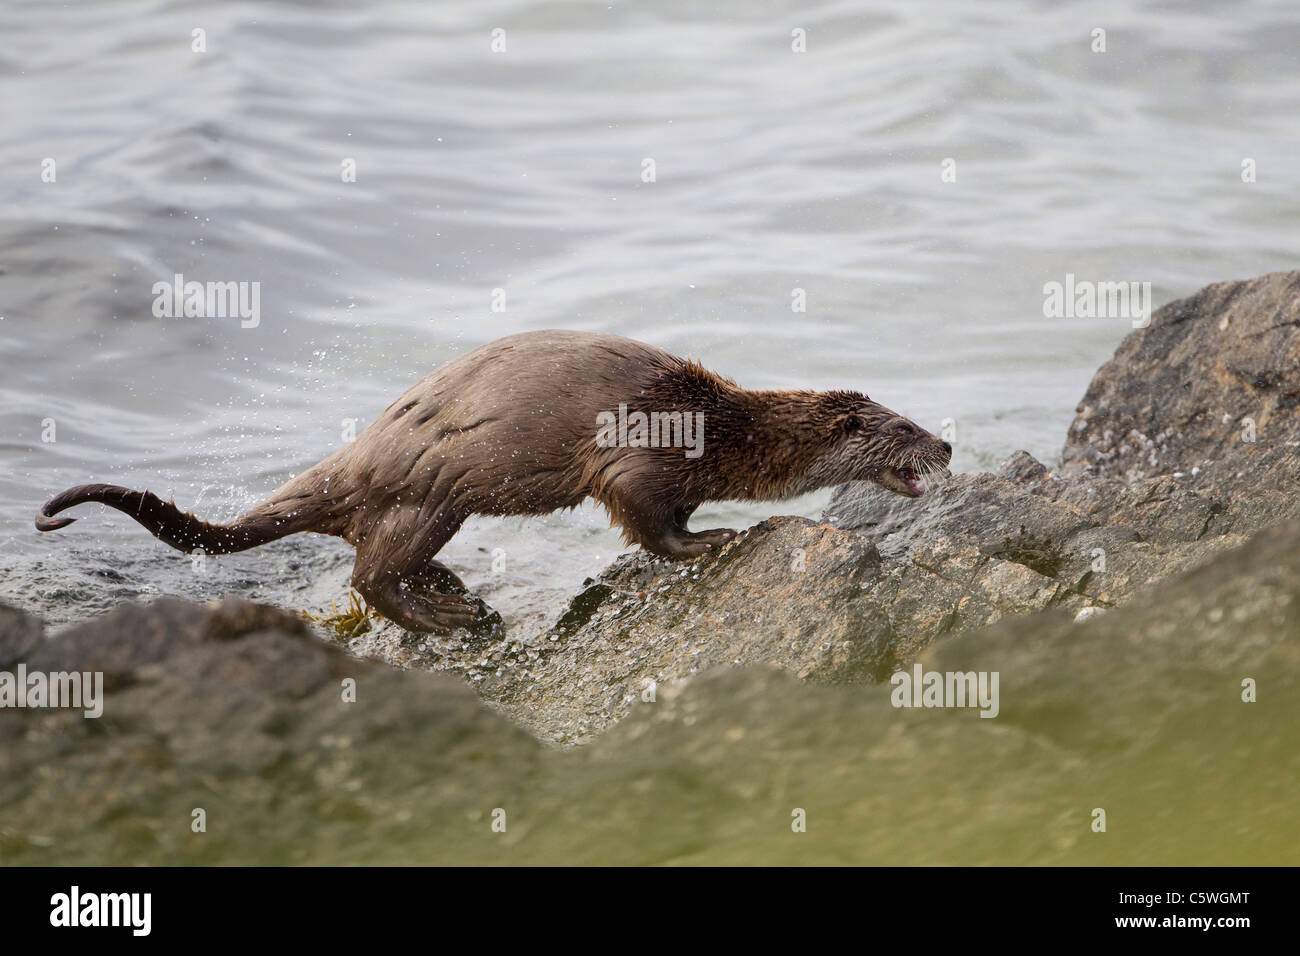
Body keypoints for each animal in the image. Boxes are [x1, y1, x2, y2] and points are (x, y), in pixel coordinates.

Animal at [35, 332, 951, 632]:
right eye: (904, 429)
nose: (945, 442)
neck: (722, 428)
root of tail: (360, 453)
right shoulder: (639, 458)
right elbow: (652, 525)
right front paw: (718, 538)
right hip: (424, 497)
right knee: (369, 576)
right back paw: (448, 619)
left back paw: (454, 593)